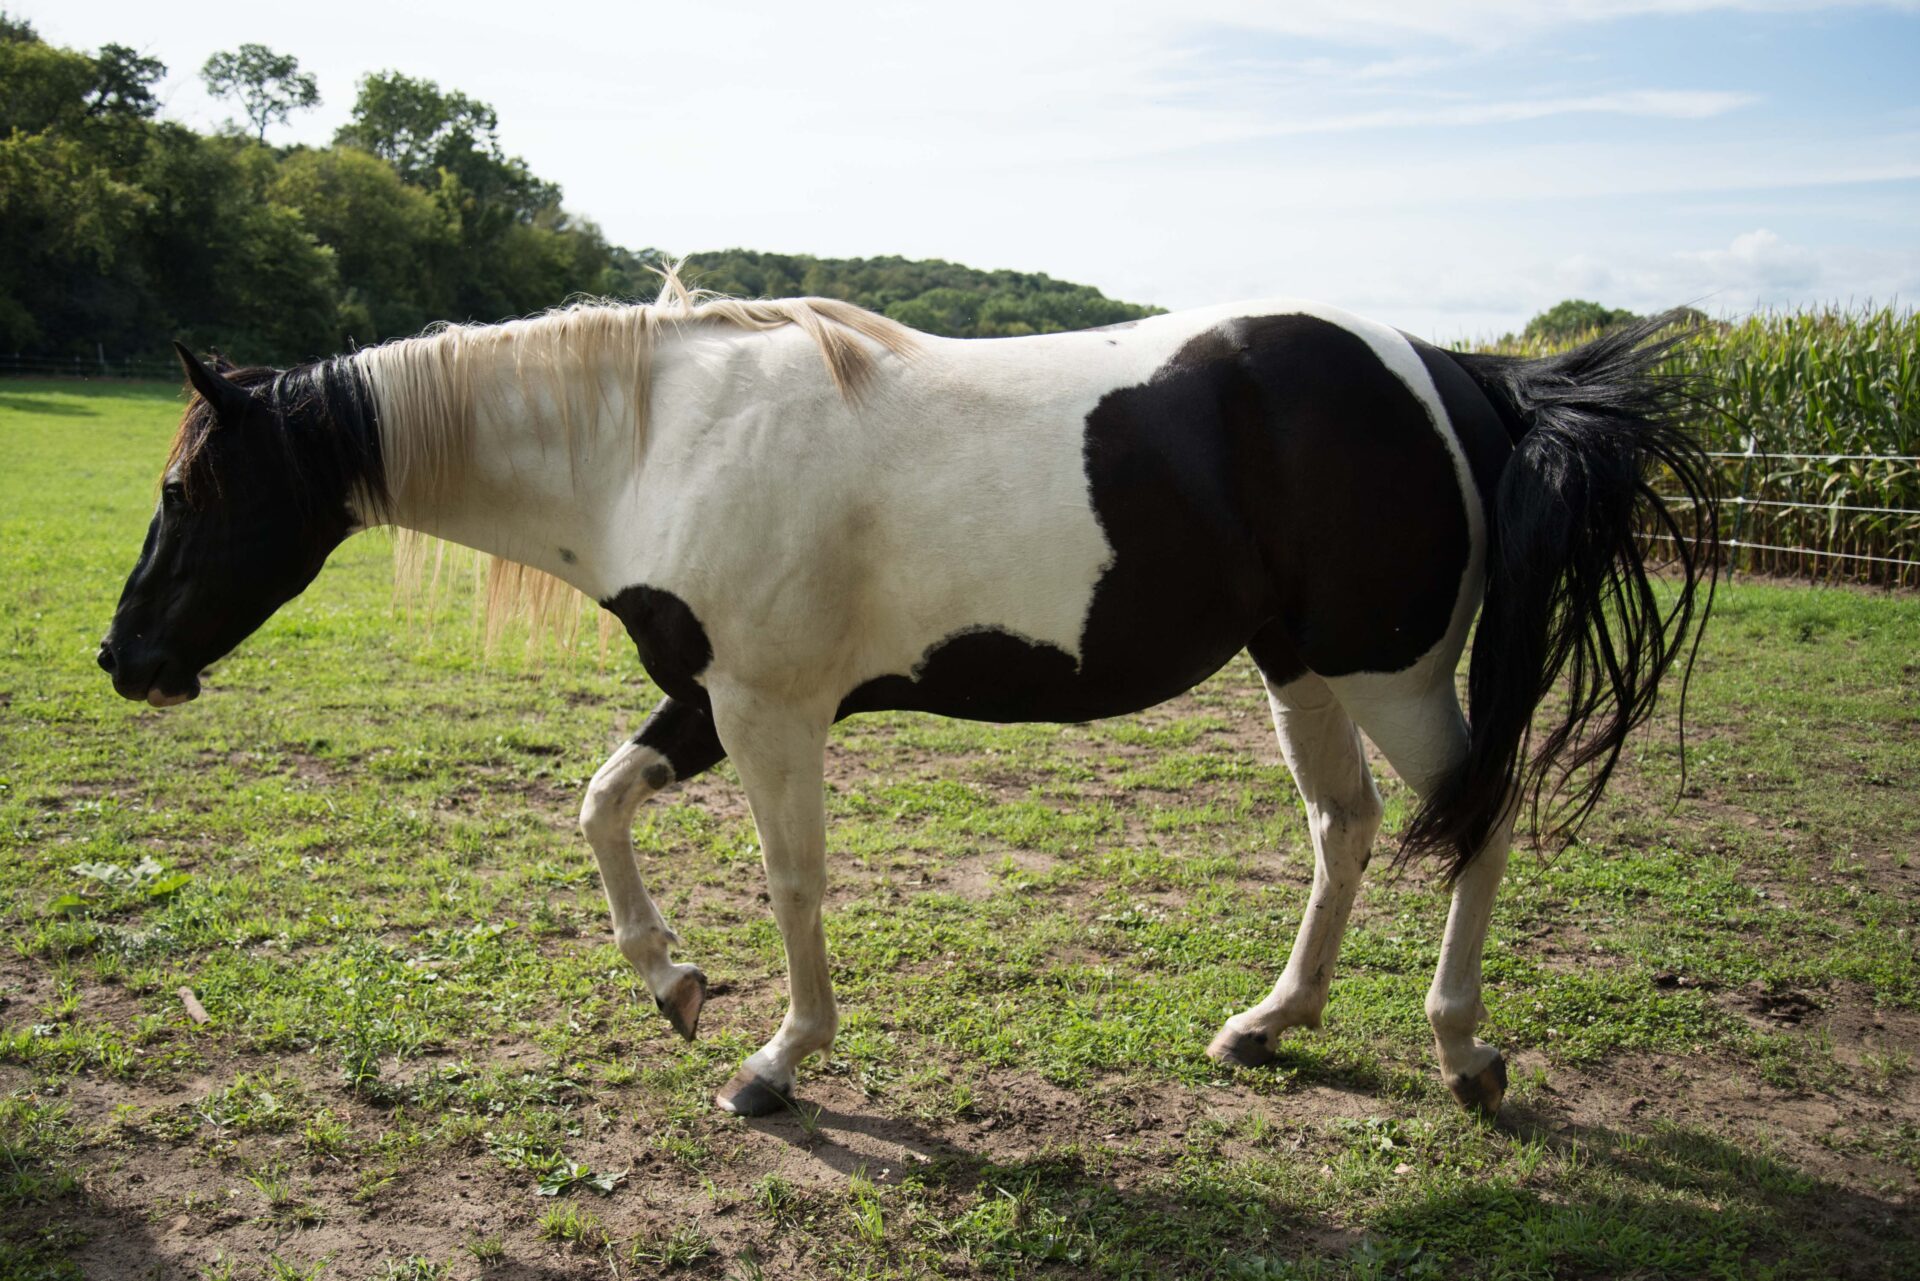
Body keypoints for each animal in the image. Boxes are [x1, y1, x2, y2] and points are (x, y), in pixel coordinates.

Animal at [97, 272, 1720, 1121]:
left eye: (187, 491)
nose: (125, 663)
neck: (652, 439)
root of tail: (1463, 369)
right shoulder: (705, 699)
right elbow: (600, 806)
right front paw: (674, 983)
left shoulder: (770, 710)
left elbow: (793, 880)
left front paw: (775, 1059)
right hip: (1303, 667)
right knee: (1349, 829)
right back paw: (1268, 1024)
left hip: (1393, 670)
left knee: (1476, 822)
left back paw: (1466, 1049)